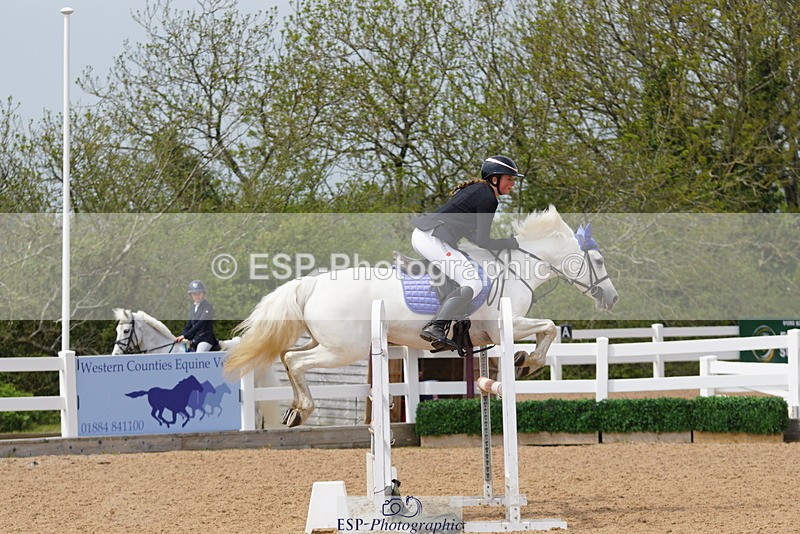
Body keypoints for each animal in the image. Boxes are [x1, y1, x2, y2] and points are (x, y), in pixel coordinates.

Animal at [224, 206, 619, 427]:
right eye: (599, 262)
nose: (612, 298)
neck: (517, 268)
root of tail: (312, 283)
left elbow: (544, 332)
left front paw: (524, 359)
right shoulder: (501, 326)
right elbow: (548, 328)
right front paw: (529, 362)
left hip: (326, 342)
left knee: (288, 357)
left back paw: (295, 411)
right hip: (345, 349)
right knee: (297, 362)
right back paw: (303, 409)